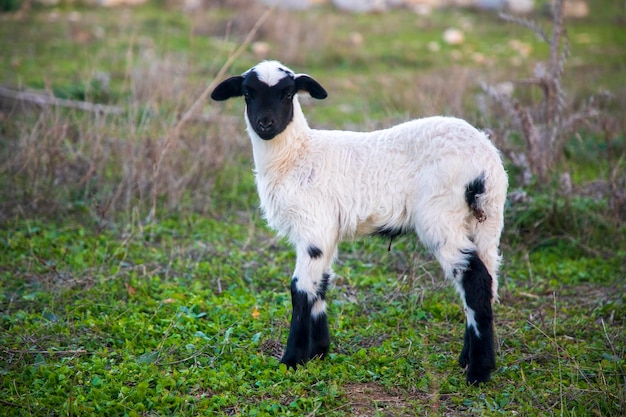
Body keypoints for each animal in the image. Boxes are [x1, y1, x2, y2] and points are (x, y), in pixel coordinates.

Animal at [210, 59, 508, 384]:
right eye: (247, 93)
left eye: (288, 94)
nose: (265, 124)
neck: (296, 155)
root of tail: (485, 165)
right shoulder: (327, 231)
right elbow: (321, 283)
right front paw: (318, 351)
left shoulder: (313, 225)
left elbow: (301, 288)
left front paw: (292, 360)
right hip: (485, 220)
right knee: (486, 282)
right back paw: (468, 359)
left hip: (441, 214)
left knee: (474, 279)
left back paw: (478, 372)